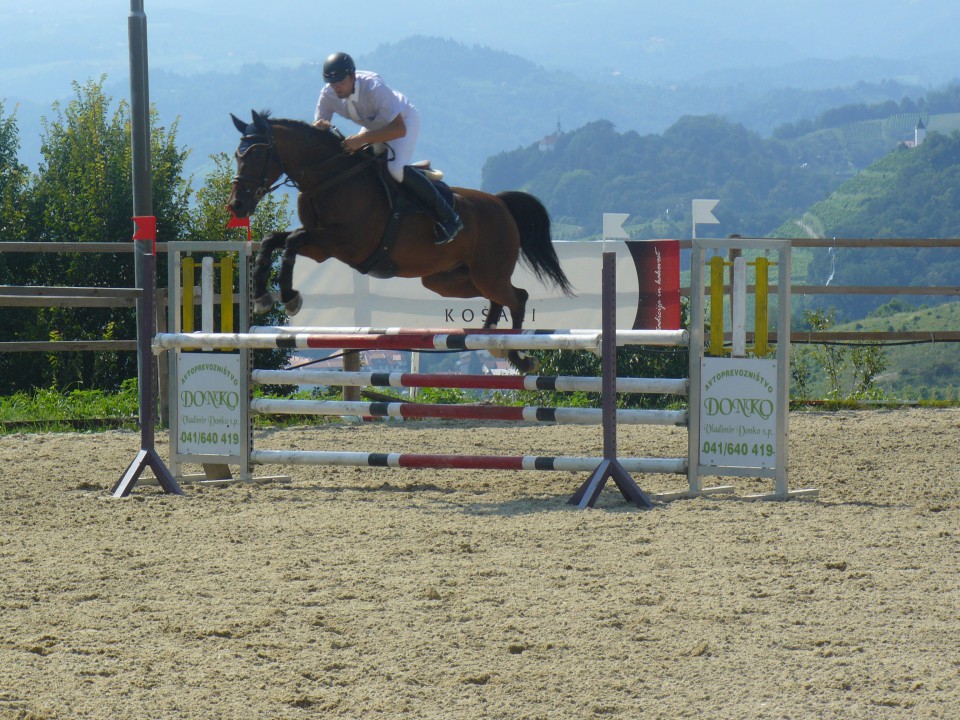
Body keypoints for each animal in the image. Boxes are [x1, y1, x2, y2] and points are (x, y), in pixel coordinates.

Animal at [226, 111, 572, 376]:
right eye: (237, 155)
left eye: (255, 154)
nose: (237, 205)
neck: (329, 177)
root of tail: (501, 204)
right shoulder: (322, 244)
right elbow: (274, 241)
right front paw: (261, 295)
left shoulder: (342, 243)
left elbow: (293, 242)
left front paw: (289, 297)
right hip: (448, 280)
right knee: (499, 298)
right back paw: (490, 341)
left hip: (489, 271)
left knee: (517, 297)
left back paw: (516, 357)